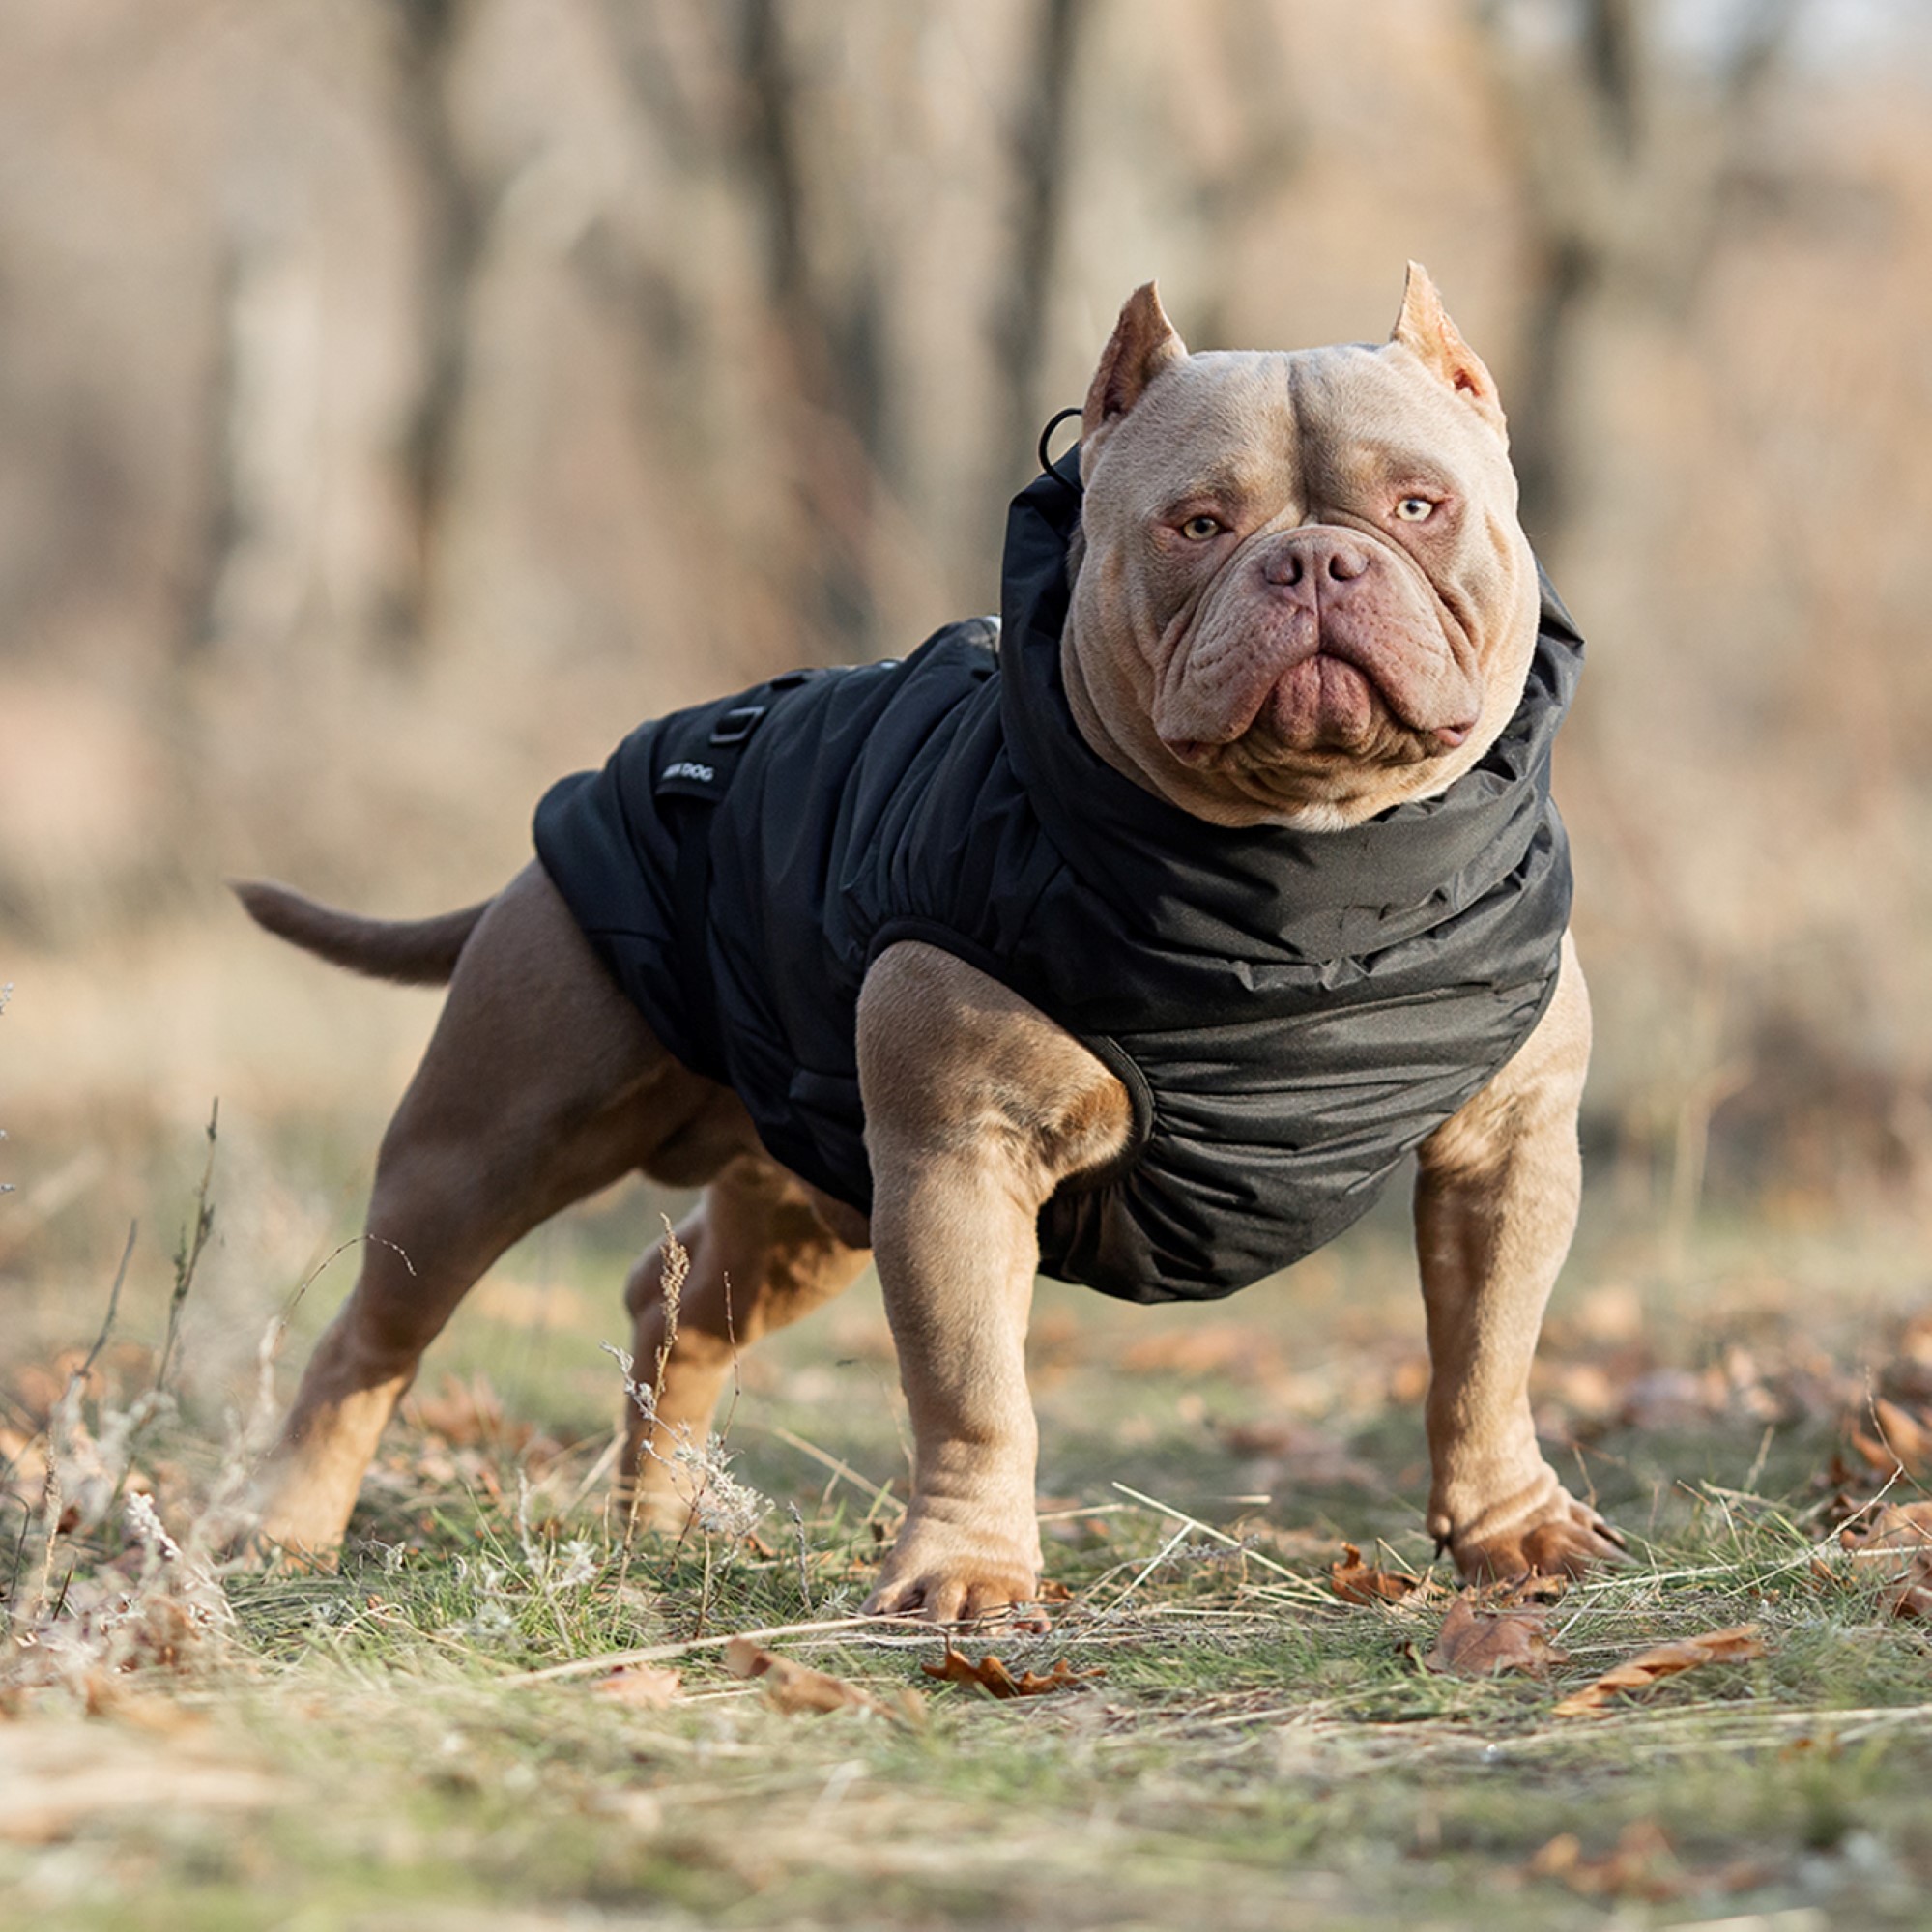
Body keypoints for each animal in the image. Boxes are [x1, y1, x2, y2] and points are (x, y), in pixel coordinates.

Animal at [241, 260, 1630, 1615]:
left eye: (1417, 506)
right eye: (1197, 525)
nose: (1314, 566)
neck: (1310, 884)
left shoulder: (1507, 1150)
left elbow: (1485, 1355)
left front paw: (1511, 1527)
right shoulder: (958, 1159)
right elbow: (974, 1393)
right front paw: (969, 1569)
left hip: (804, 1193)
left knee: (675, 1300)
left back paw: (658, 1524)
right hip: (485, 1146)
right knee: (372, 1337)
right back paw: (286, 1531)